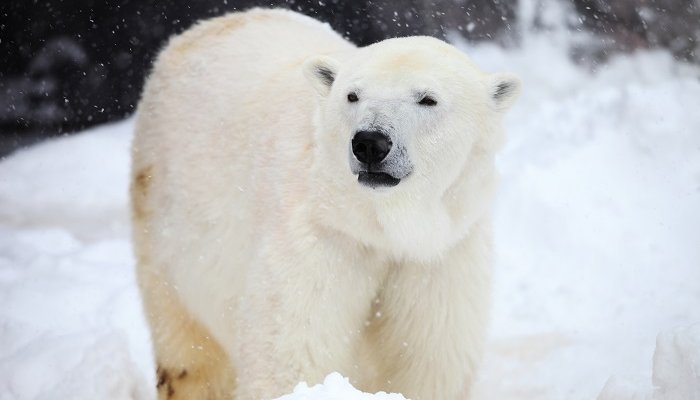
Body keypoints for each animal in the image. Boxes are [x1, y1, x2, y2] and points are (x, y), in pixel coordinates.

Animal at [131, 8, 519, 400]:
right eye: (352, 95)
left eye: (427, 99)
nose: (370, 143)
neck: (381, 225)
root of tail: (203, 27)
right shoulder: (320, 239)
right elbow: (293, 351)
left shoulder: (438, 255)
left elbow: (429, 358)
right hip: (165, 211)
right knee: (189, 348)